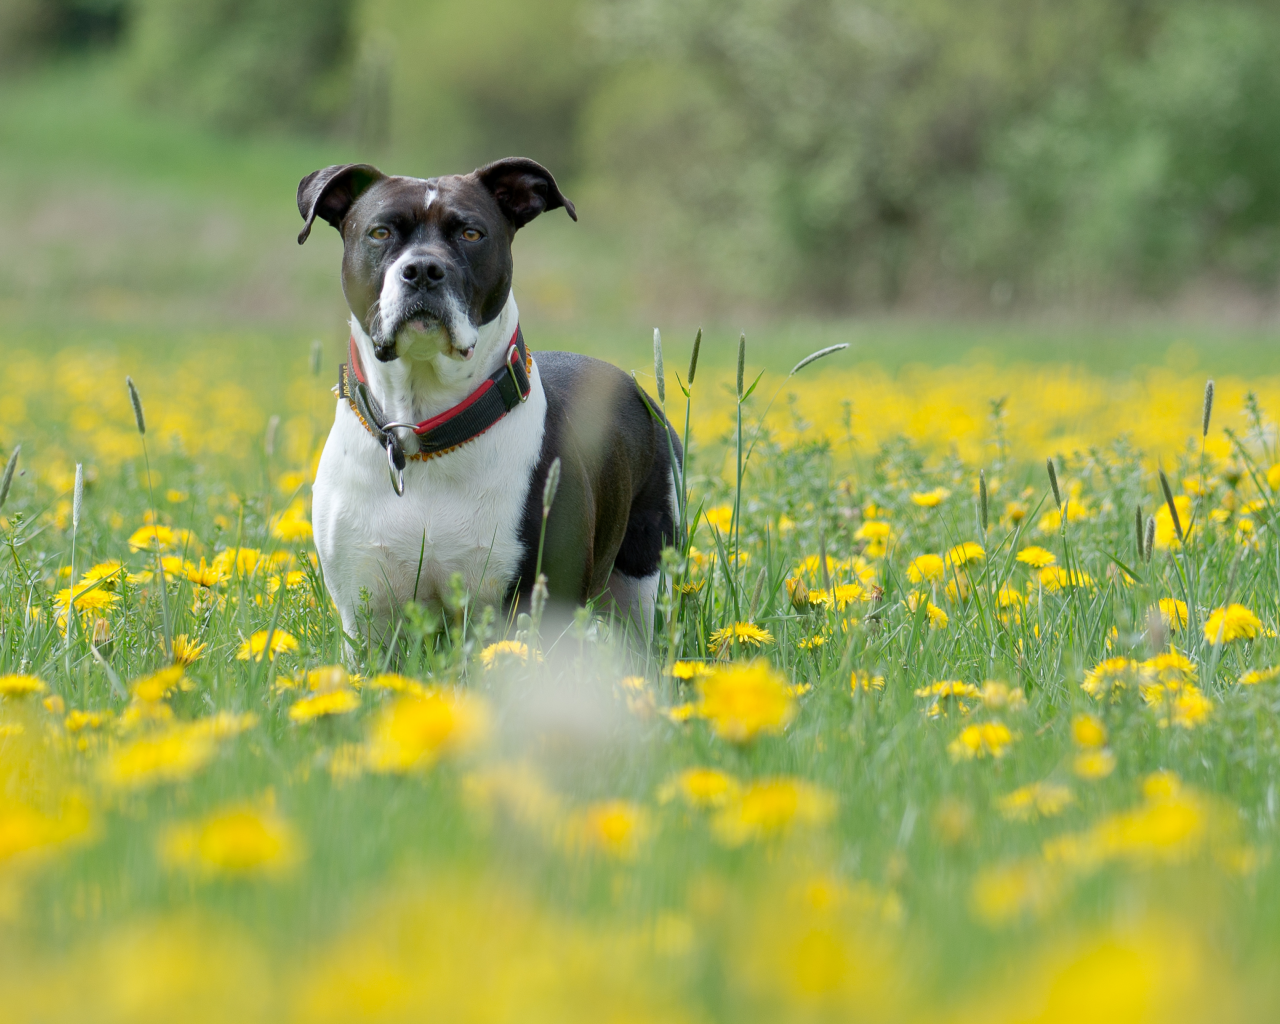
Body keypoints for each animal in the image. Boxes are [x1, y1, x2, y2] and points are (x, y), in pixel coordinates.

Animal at [296, 156, 680, 645]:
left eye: (471, 234)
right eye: (380, 232)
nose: (423, 270)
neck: (422, 433)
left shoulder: (539, 603)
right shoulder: (369, 619)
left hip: (646, 582)